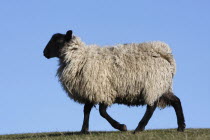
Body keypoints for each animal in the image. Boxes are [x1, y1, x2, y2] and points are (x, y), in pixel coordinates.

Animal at [43, 29, 185, 133]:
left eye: (58, 41)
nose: (44, 53)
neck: (78, 57)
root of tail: (165, 55)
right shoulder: (92, 90)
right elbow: (86, 109)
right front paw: (84, 130)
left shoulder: (103, 90)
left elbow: (102, 112)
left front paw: (121, 127)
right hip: (162, 85)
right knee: (176, 101)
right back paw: (181, 127)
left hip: (153, 83)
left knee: (151, 107)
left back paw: (139, 128)